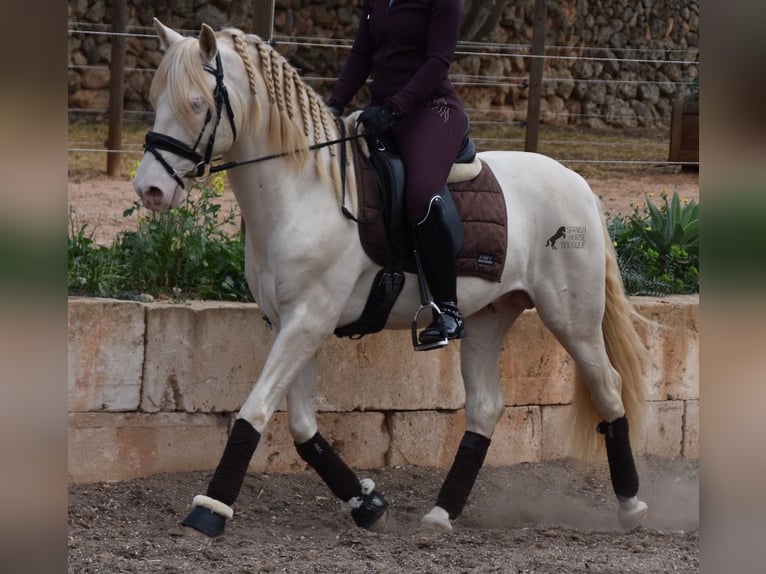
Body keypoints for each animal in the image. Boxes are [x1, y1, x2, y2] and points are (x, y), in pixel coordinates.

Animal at [135, 19, 652, 540]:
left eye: (197, 103)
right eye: (156, 97)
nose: (150, 190)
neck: (304, 193)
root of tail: (576, 181)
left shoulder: (309, 320)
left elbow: (255, 410)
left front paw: (211, 508)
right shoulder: (287, 323)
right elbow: (301, 425)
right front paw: (367, 502)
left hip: (572, 318)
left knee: (608, 387)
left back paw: (632, 505)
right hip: (489, 317)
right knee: (486, 408)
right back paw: (441, 513)